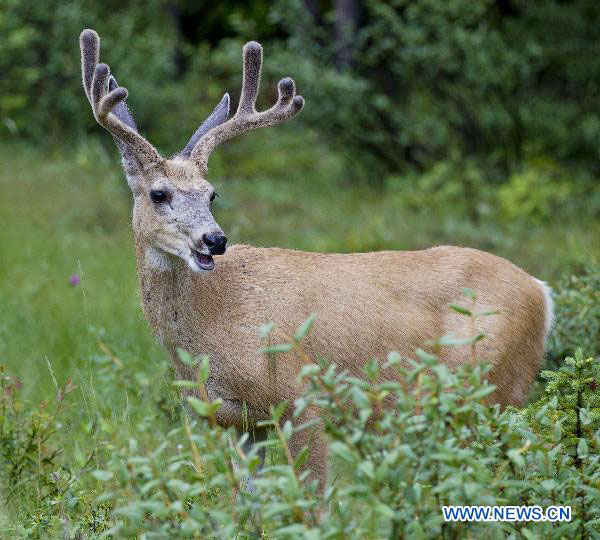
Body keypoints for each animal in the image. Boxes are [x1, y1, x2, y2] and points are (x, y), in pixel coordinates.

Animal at [78, 27, 552, 488]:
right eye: (159, 194)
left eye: (212, 193)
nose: (214, 240)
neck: (212, 328)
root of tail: (542, 292)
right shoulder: (236, 421)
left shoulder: (302, 396)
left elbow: (313, 499)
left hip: (491, 387)